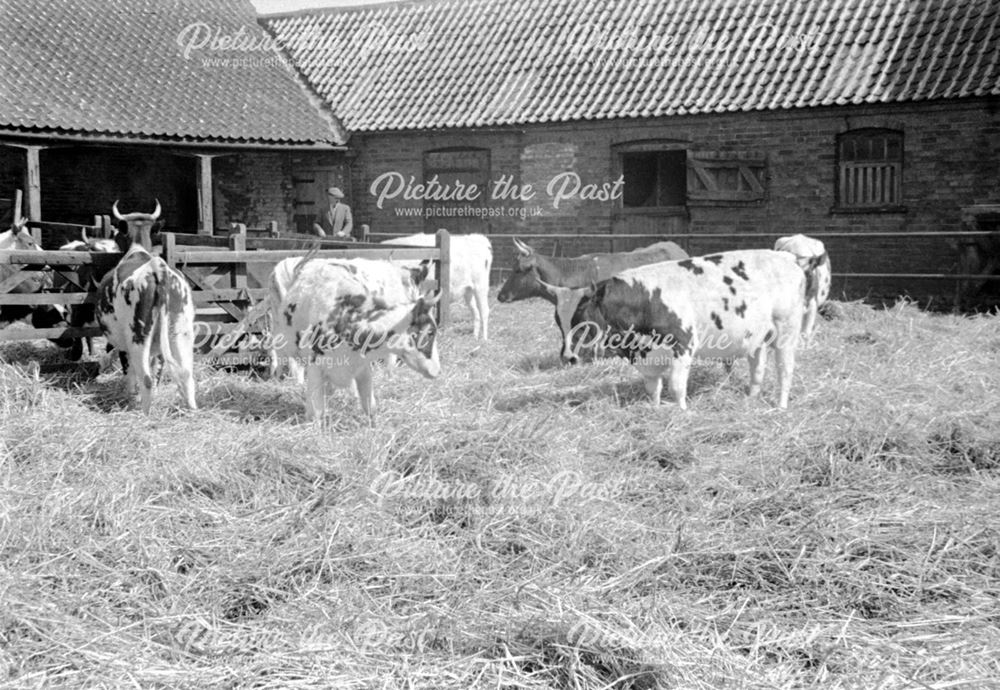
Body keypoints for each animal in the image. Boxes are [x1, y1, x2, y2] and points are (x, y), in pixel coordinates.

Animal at [94, 202, 197, 412]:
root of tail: (157, 269)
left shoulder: (123, 344)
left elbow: (129, 372)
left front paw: (129, 396)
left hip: (138, 335)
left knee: (146, 378)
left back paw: (145, 413)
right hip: (181, 332)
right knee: (186, 374)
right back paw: (191, 409)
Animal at [268, 255, 440, 420]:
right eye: (430, 332)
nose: (437, 370)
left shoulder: (362, 368)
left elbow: (370, 407)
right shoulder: (316, 368)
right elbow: (315, 413)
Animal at [552, 249, 824, 406]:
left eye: (581, 319)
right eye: (559, 321)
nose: (568, 357)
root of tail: (790, 258)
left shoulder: (682, 345)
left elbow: (676, 387)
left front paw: (682, 414)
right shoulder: (647, 357)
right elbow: (653, 389)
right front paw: (655, 412)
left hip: (786, 330)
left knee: (785, 369)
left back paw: (781, 406)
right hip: (757, 335)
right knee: (758, 368)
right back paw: (750, 400)